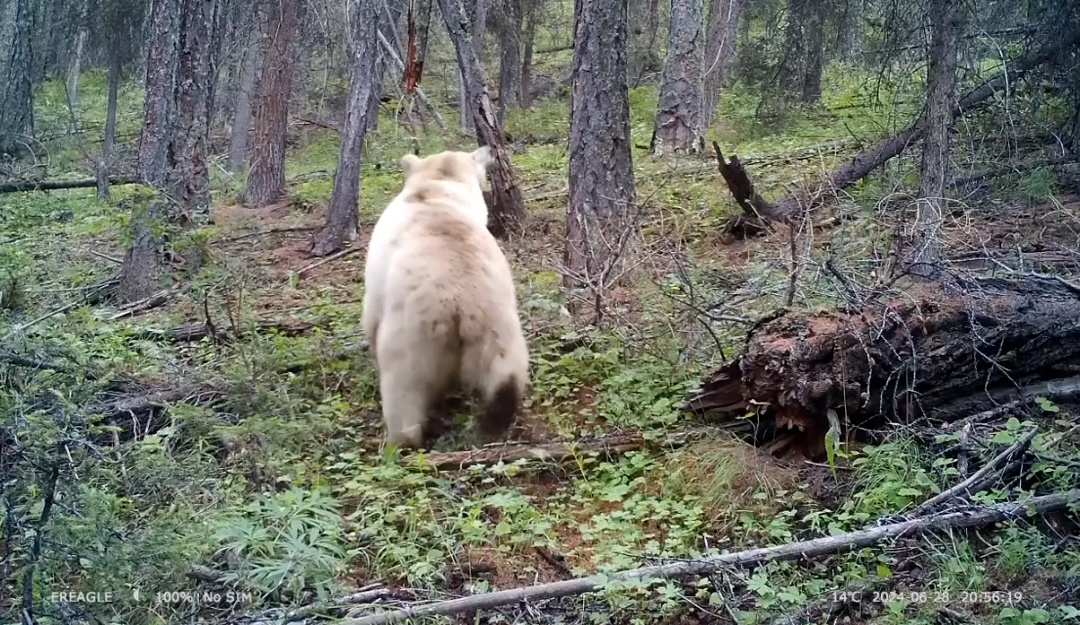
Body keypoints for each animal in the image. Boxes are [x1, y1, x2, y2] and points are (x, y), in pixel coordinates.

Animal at [361, 146, 530, 449]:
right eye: (474, 155)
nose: (487, 149)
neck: (435, 190)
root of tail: (462, 301)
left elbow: (370, 317)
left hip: (413, 330)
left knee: (404, 386)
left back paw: (404, 438)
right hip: (498, 321)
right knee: (505, 372)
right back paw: (498, 418)